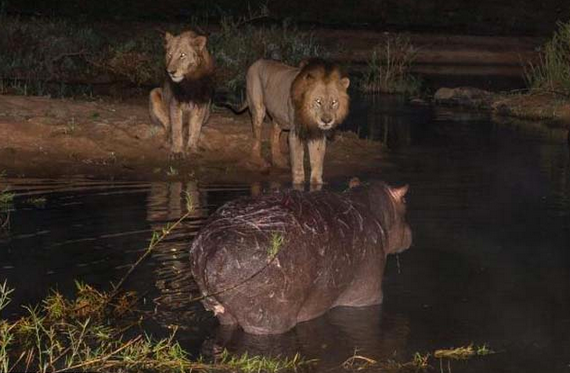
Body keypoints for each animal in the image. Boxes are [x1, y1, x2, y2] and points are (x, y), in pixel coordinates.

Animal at [148, 29, 214, 157]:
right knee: (168, 125)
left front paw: (192, 148)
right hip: (154, 92)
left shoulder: (202, 103)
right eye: (170, 54)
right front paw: (177, 150)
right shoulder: (175, 103)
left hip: (208, 109)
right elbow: (176, 128)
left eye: (182, 55)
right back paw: (168, 140)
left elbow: (196, 128)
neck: (189, 79)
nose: (171, 72)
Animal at [189, 180, 410, 334]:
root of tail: (211, 249)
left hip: (222, 311)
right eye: (405, 201)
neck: (373, 211)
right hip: (266, 320)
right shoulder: (366, 296)